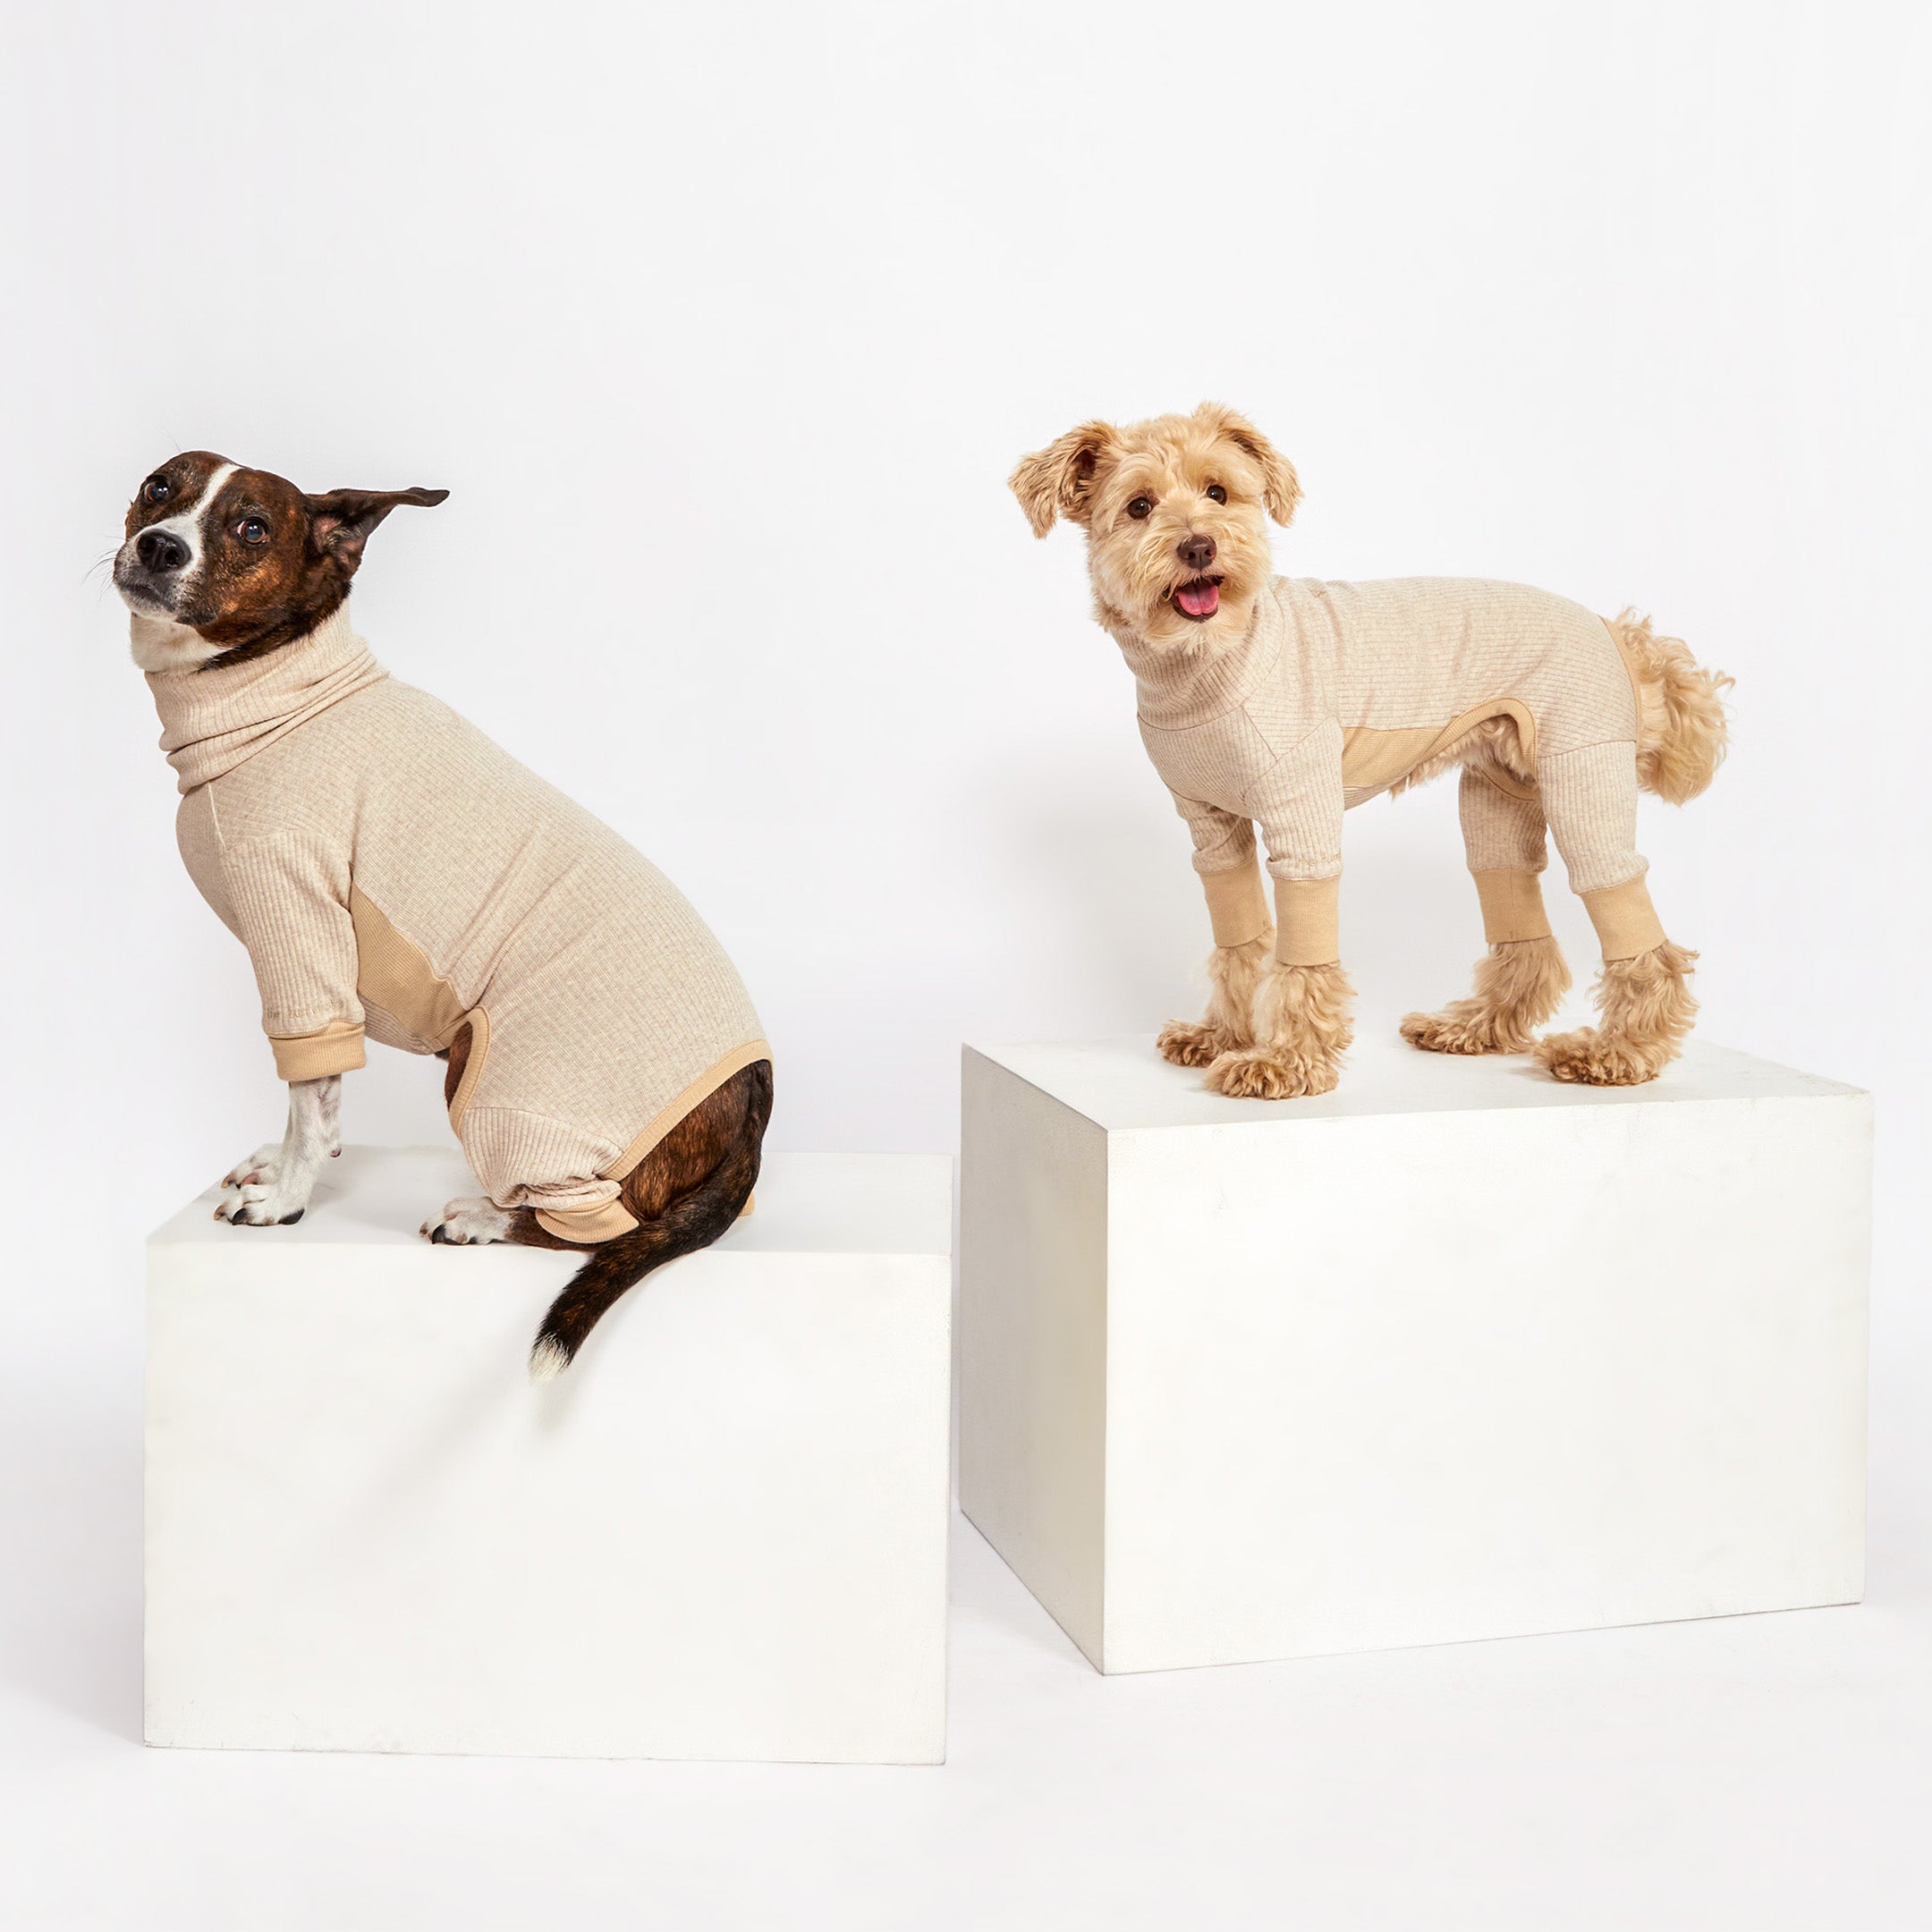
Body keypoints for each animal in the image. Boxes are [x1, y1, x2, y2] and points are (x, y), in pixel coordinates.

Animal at [114, 452, 768, 1375]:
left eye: (252, 527)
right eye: (160, 487)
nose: (159, 547)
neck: (279, 694)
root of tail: (755, 1097)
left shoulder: (298, 929)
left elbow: (308, 1093)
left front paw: (285, 1200)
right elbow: (310, 1100)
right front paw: (277, 1165)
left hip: (493, 1092)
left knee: (597, 1228)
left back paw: (484, 1219)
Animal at [1012, 400, 1739, 1097]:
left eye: (1218, 492)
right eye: (1139, 506)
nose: (1198, 547)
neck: (1208, 661)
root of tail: (1614, 630)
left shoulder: (1302, 820)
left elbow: (1301, 955)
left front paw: (1284, 1062)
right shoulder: (1212, 831)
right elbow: (1240, 939)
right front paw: (1224, 1035)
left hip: (1582, 775)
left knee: (1633, 924)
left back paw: (1618, 1052)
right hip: (1499, 798)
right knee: (1520, 923)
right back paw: (1474, 1028)